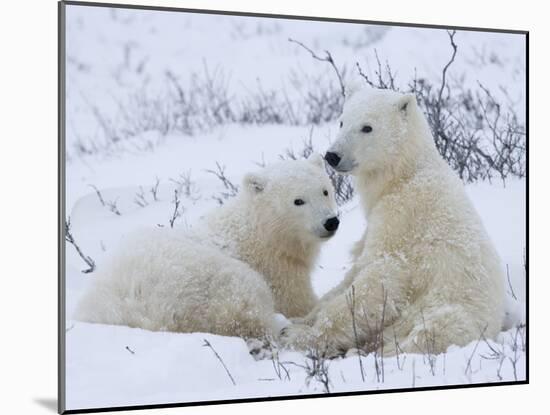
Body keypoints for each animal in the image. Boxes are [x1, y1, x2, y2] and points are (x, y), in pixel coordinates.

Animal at [74, 158, 340, 340]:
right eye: (298, 201)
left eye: (325, 190)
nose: (331, 222)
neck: (259, 234)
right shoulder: (277, 271)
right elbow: (299, 302)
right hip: (203, 282)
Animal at [282, 85, 506, 358]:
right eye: (342, 121)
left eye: (367, 127)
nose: (332, 156)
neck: (404, 175)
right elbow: (353, 272)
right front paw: (299, 319)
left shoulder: (401, 219)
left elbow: (379, 280)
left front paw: (298, 336)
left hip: (451, 312)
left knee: (427, 333)